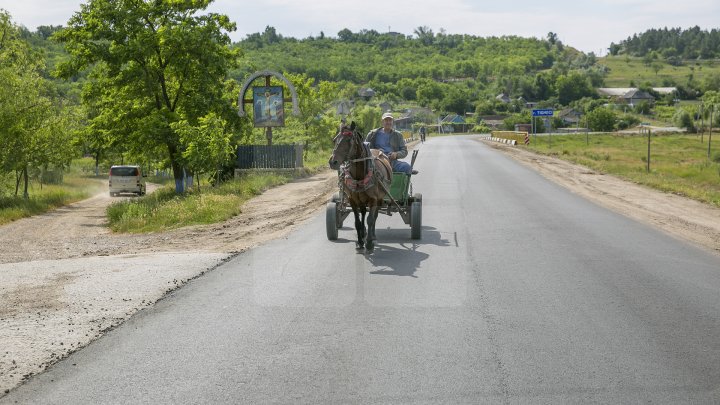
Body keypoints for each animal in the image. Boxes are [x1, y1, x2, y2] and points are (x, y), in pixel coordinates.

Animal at [328, 121, 390, 251]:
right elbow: (357, 221)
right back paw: (363, 233)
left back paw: (372, 235)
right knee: (363, 212)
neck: (359, 176)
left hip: (379, 198)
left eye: (348, 140)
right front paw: (360, 242)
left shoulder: (373, 199)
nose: (332, 162)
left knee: (374, 215)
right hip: (361, 200)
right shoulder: (352, 200)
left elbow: (370, 219)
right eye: (334, 140)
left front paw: (369, 243)